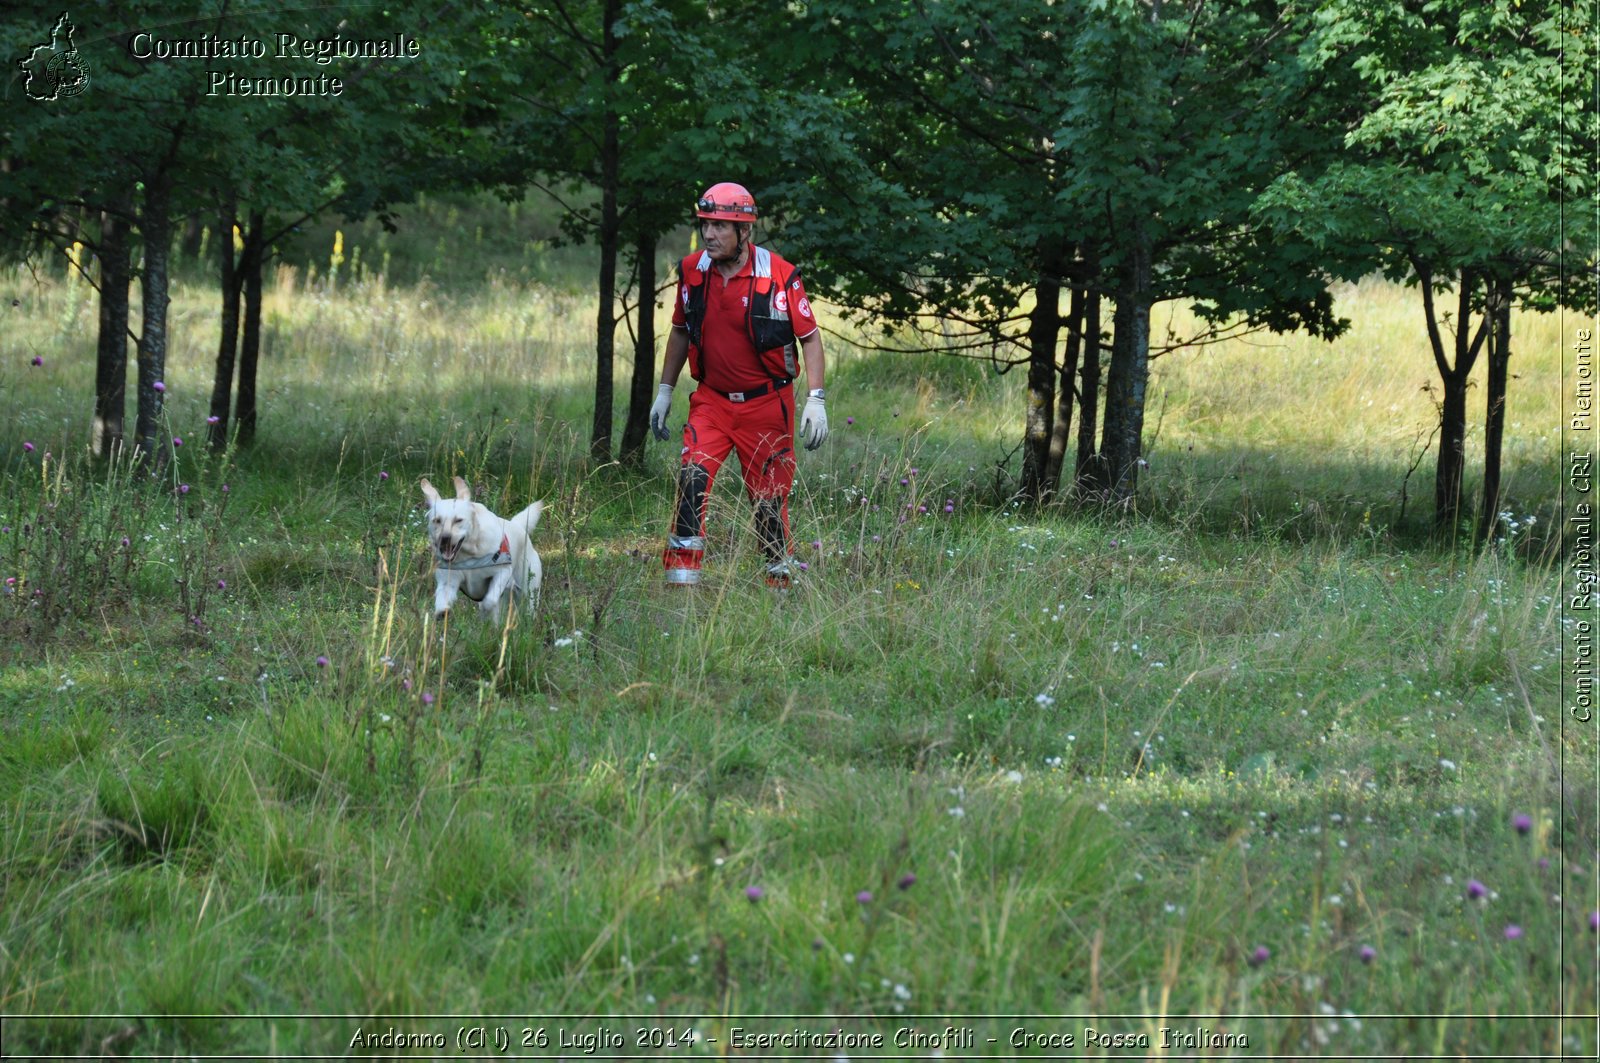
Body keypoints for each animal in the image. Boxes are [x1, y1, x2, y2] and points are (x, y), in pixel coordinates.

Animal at [419, 473, 544, 617]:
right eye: (437, 520)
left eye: (458, 520)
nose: (444, 538)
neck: (468, 555)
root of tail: (517, 525)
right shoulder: (448, 581)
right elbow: (442, 600)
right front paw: (442, 612)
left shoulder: (502, 572)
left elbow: (489, 600)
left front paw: (485, 608)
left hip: (529, 589)